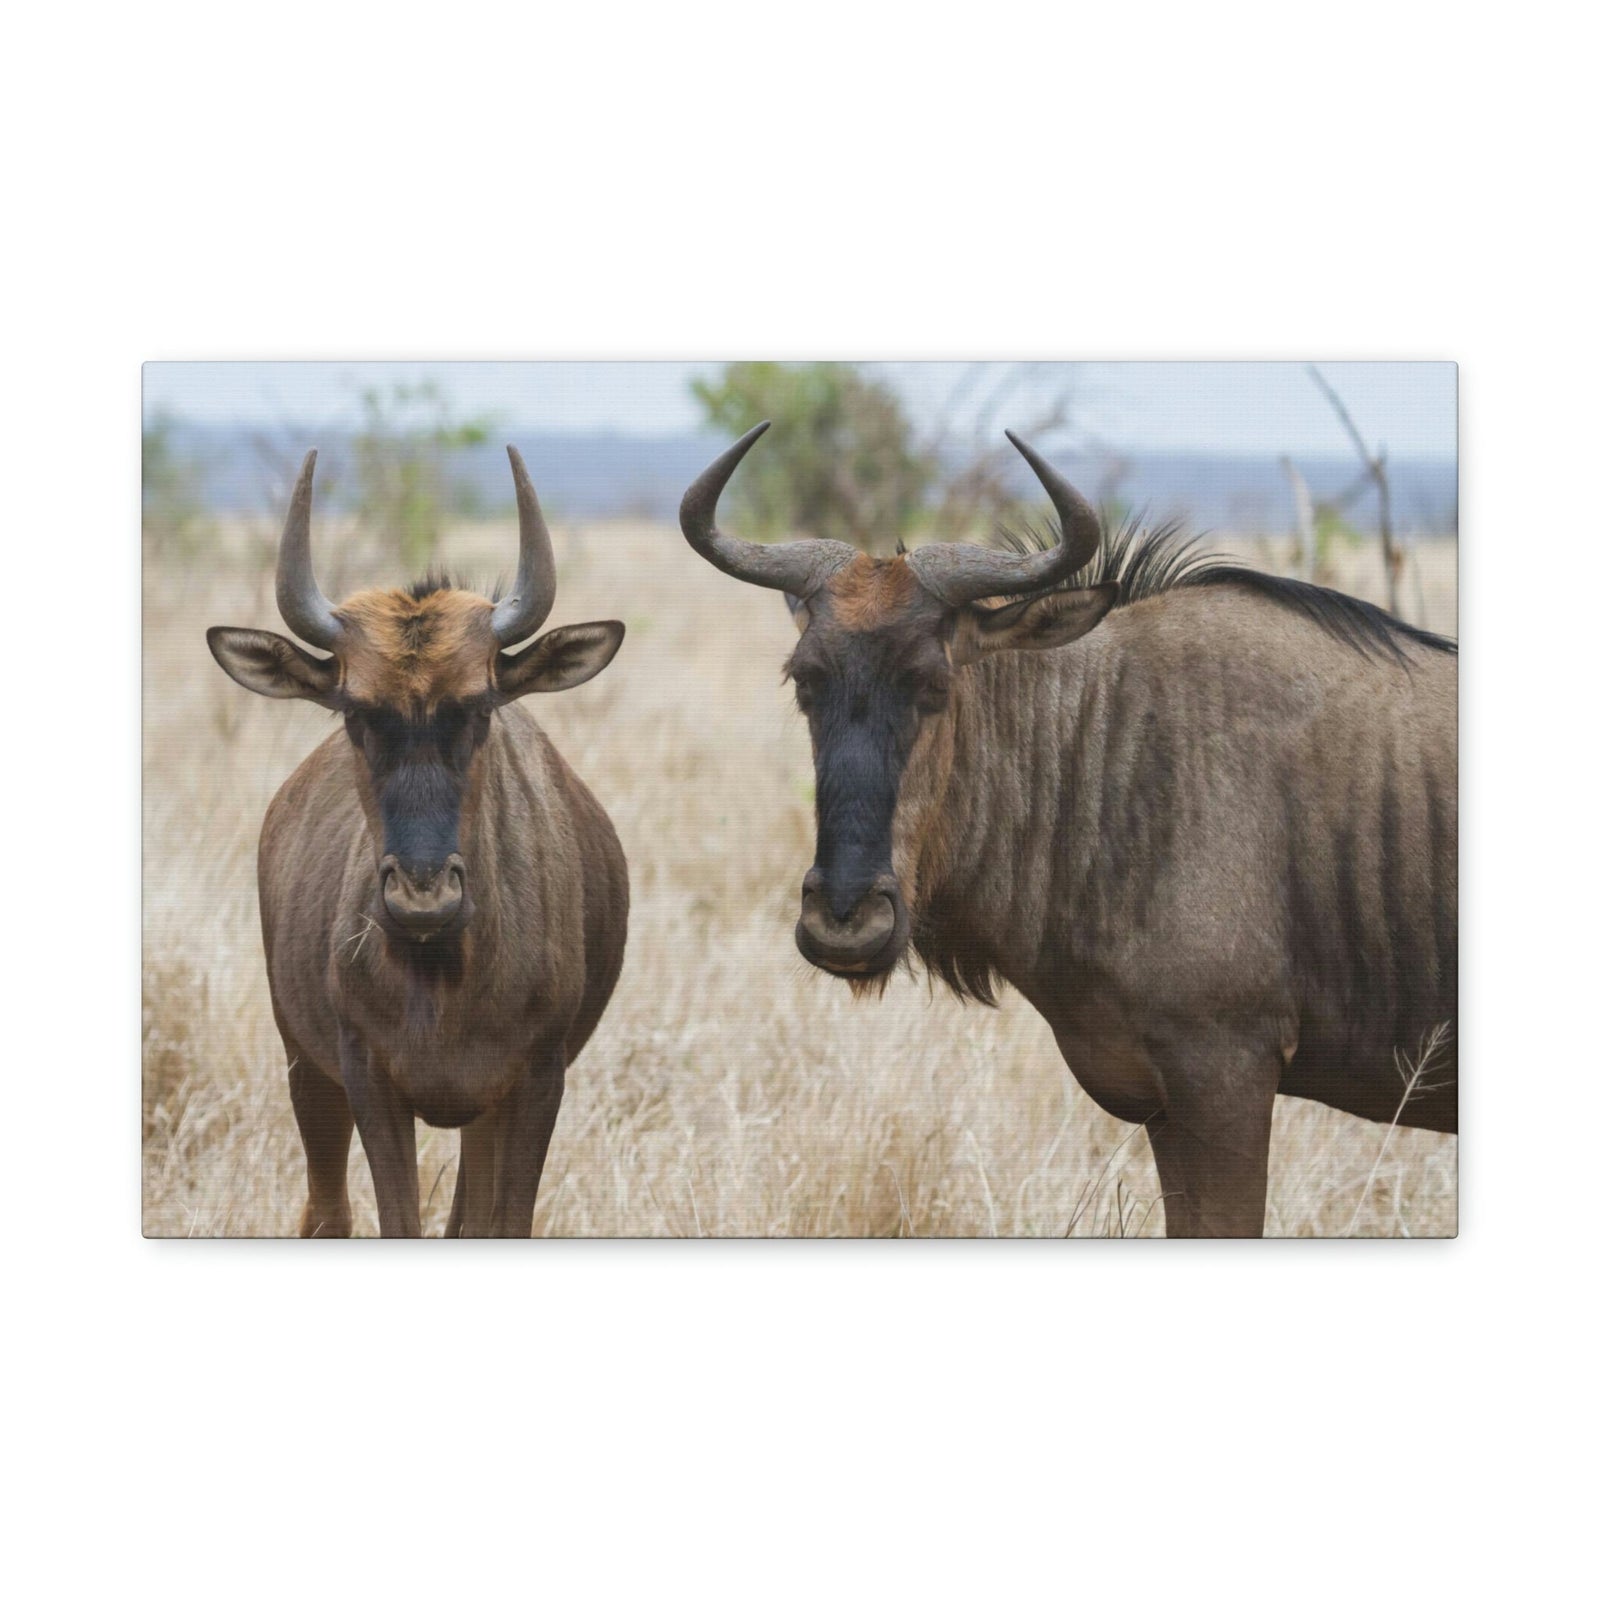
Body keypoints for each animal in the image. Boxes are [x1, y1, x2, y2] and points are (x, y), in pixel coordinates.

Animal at [208, 448, 628, 1236]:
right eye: (354, 712)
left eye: (481, 707)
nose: (422, 899)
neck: (445, 972)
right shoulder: (368, 1081)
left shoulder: (533, 1085)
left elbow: (502, 1224)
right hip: (306, 1070)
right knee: (327, 1211)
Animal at [679, 423, 1456, 1236]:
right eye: (806, 680)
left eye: (932, 683)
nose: (844, 923)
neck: (1118, 754)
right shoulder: (1169, 1106)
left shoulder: (1226, 1078)